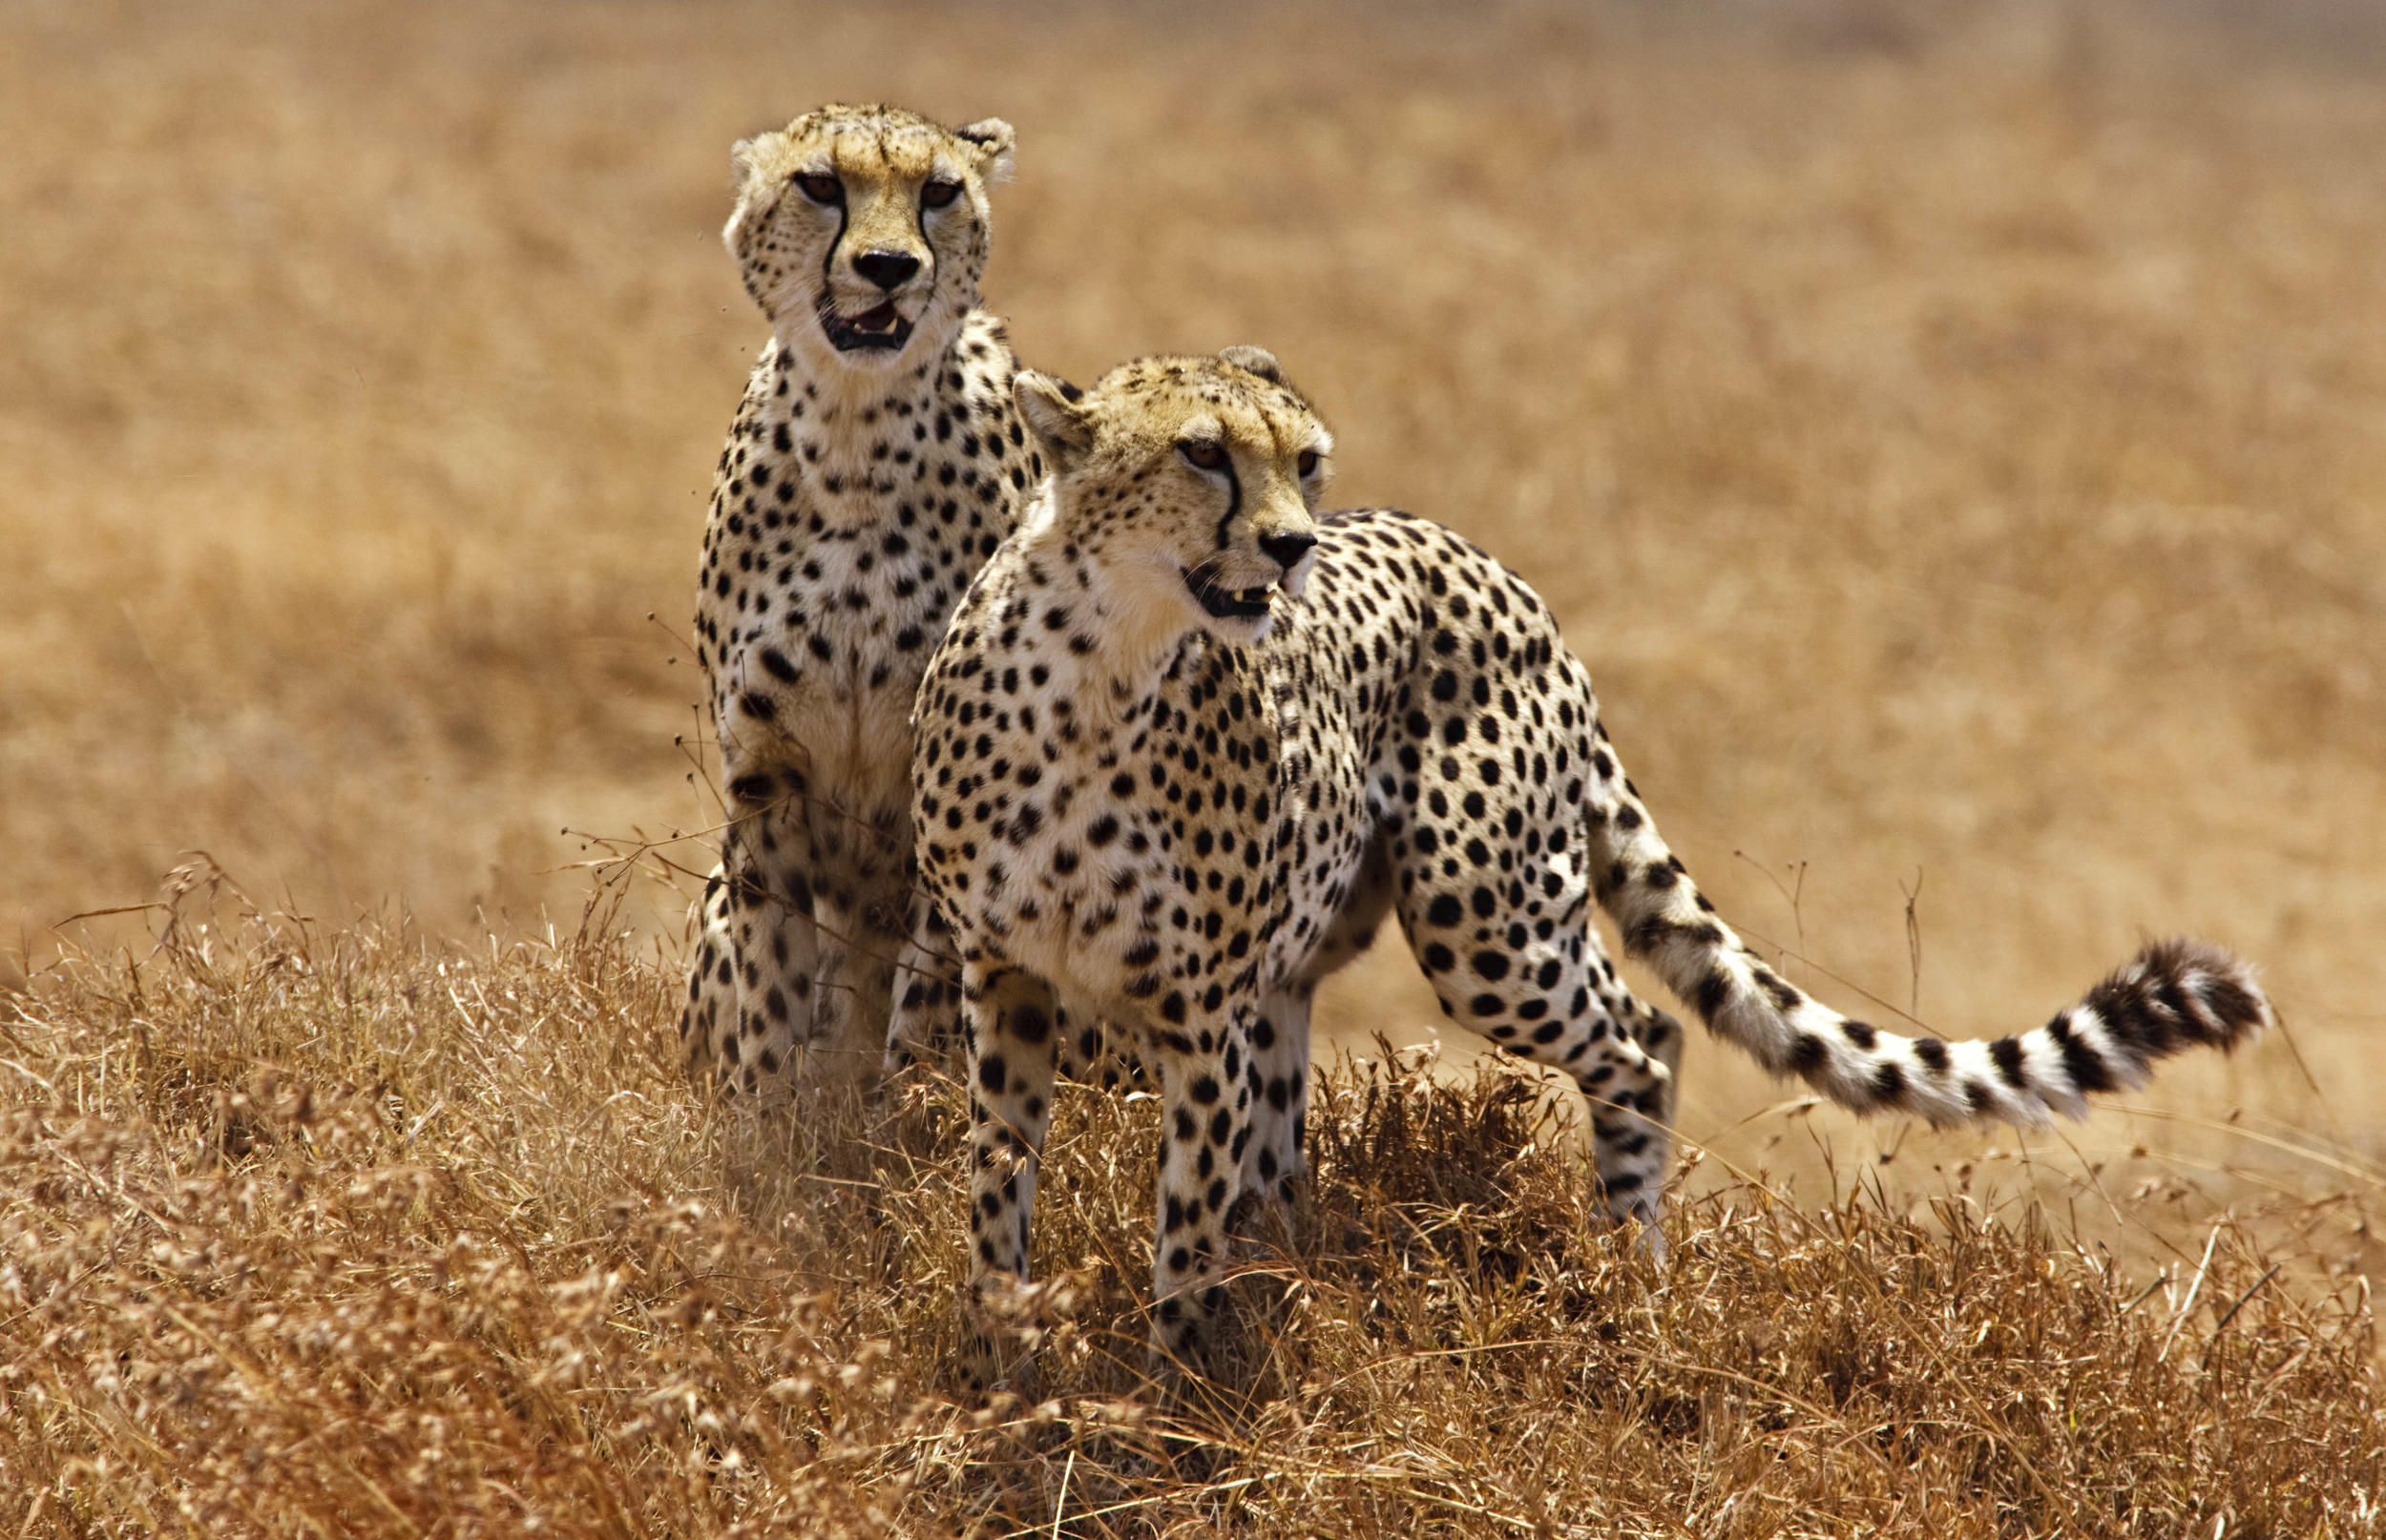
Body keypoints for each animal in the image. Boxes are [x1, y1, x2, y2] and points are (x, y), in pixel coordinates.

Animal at [678, 102, 1040, 1106]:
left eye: (940, 192)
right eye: (821, 184)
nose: (887, 266)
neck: (855, 440)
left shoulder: (955, 788)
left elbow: (929, 989)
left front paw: (905, 1113)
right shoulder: (764, 772)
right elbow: (773, 971)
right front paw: (770, 1117)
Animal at [907, 347, 2271, 1373]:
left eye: (1303, 459)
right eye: (1201, 452)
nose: (1292, 547)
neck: (1103, 666)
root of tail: (1499, 571)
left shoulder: (1194, 1012)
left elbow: (1183, 1222)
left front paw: (1175, 1384)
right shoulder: (1005, 975)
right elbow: (996, 1179)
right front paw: (994, 1355)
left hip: (1483, 922)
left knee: (1643, 1036)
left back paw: (1629, 1273)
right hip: (1320, 961)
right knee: (1291, 1136)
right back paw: (1299, 1253)